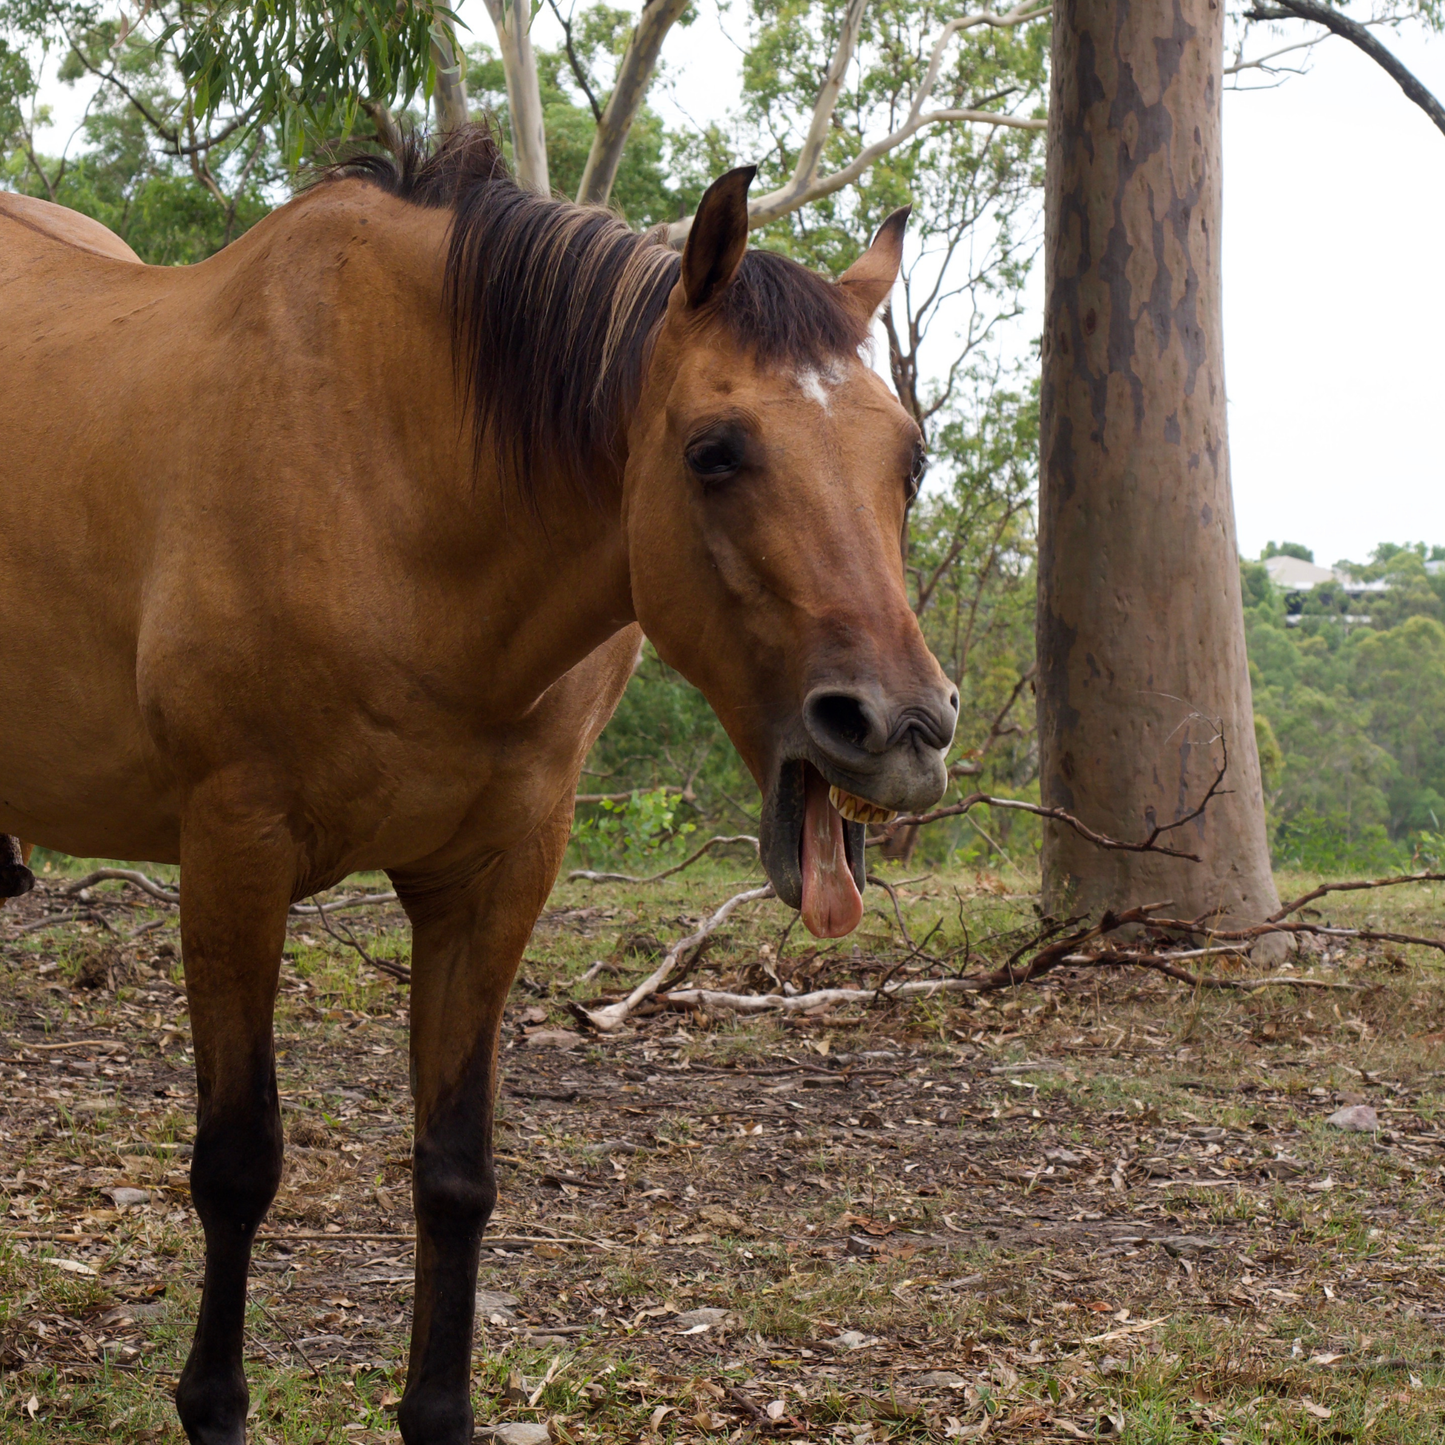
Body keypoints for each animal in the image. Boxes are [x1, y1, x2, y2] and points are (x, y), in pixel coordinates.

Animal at [0, 127, 957, 1444]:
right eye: (713, 450)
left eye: (905, 459)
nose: (899, 730)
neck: (393, 479)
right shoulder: (234, 849)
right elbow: (238, 1163)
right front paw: (214, 1403)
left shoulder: (494, 874)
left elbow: (454, 1171)